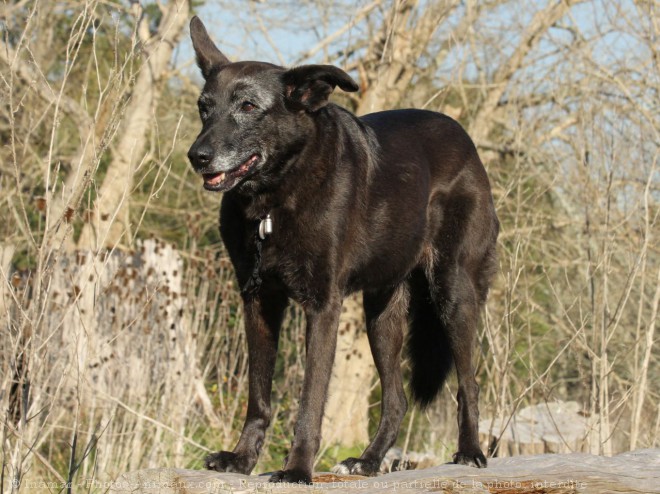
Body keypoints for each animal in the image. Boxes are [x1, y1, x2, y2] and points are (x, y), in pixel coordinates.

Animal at [188, 16, 498, 486]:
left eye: (248, 107)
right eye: (205, 108)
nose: (197, 156)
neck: (274, 197)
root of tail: (465, 139)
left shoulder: (323, 305)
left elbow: (311, 399)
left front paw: (297, 468)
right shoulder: (258, 300)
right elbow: (259, 396)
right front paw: (241, 460)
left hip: (453, 293)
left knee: (469, 383)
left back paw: (470, 451)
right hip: (381, 313)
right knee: (396, 399)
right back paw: (367, 462)